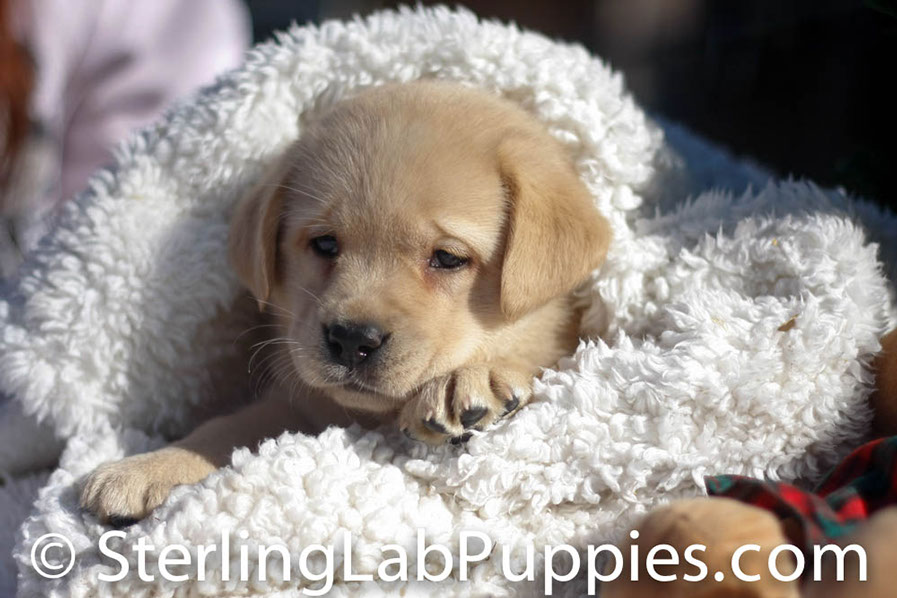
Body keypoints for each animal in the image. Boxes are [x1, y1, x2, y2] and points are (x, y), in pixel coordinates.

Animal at [79, 81, 613, 523]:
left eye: (447, 258)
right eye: (325, 244)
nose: (352, 339)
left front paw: (471, 378)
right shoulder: (295, 408)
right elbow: (228, 428)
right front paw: (148, 466)